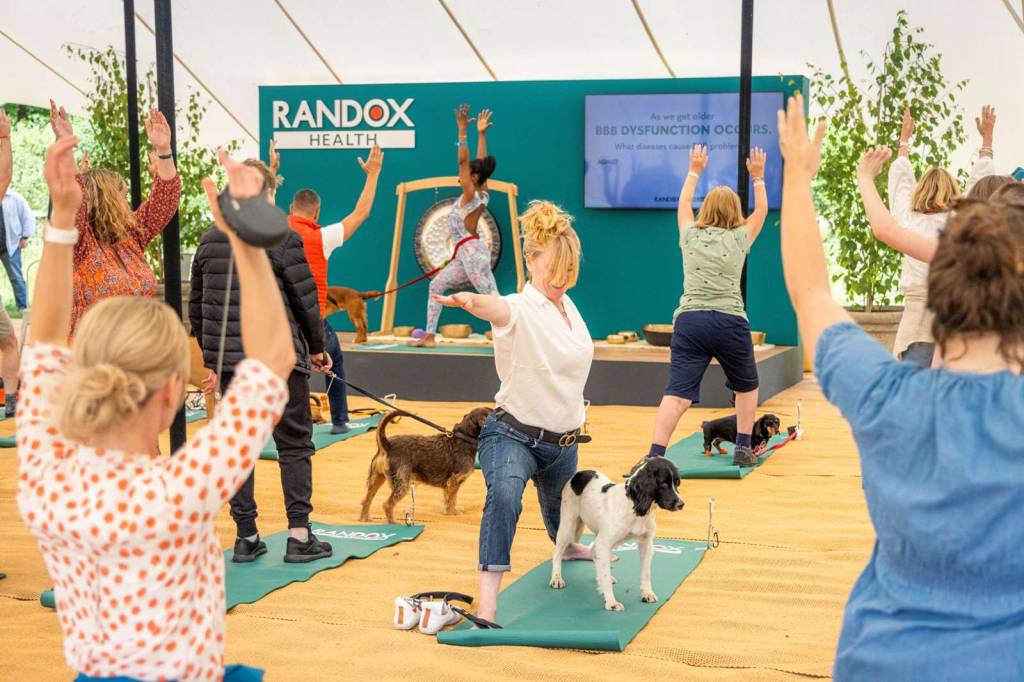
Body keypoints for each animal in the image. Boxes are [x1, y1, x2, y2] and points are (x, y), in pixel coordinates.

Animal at [358, 405, 493, 522]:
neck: (464, 438)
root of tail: (387, 445)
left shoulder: (449, 484)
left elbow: (448, 499)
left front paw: (447, 512)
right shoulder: (454, 481)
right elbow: (452, 500)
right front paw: (452, 513)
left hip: (377, 479)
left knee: (366, 500)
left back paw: (364, 519)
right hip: (402, 484)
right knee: (387, 505)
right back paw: (393, 523)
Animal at [548, 456, 684, 610]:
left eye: (677, 482)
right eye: (664, 484)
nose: (681, 504)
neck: (633, 504)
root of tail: (578, 475)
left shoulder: (645, 543)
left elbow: (646, 572)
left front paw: (647, 593)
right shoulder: (604, 542)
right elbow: (605, 574)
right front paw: (611, 602)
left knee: (593, 552)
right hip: (567, 525)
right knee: (557, 553)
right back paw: (556, 578)